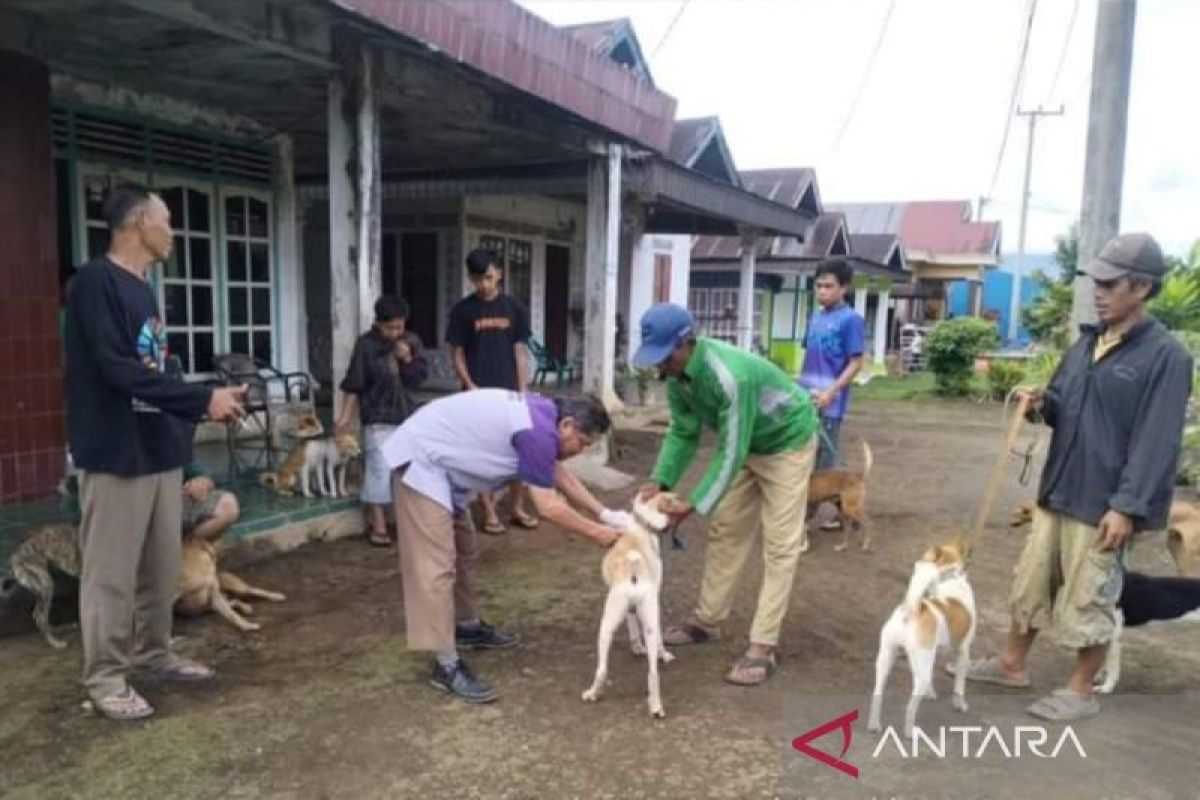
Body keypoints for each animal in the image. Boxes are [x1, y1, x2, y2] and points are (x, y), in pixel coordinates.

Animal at [3, 522, 286, 647]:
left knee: (247, 593)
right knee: (39, 616)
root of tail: (15, 555)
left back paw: (269, 599)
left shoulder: (212, 593)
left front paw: (245, 624)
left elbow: (231, 614)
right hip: (45, 585)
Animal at [580, 494, 676, 719]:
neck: (642, 526)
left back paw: (592, 694)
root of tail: (634, 568)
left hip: (607, 624)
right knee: (652, 673)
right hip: (644, 622)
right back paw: (655, 707)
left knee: (602, 670)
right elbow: (642, 631)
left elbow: (632, 625)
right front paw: (643, 648)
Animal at [873, 542, 974, 734]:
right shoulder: (963, 652)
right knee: (910, 707)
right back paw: (910, 731)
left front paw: (930, 693)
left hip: (885, 659)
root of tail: (911, 610)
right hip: (920, 674)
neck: (950, 579)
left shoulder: (932, 653)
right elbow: (959, 685)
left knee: (877, 694)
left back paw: (874, 725)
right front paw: (960, 704)